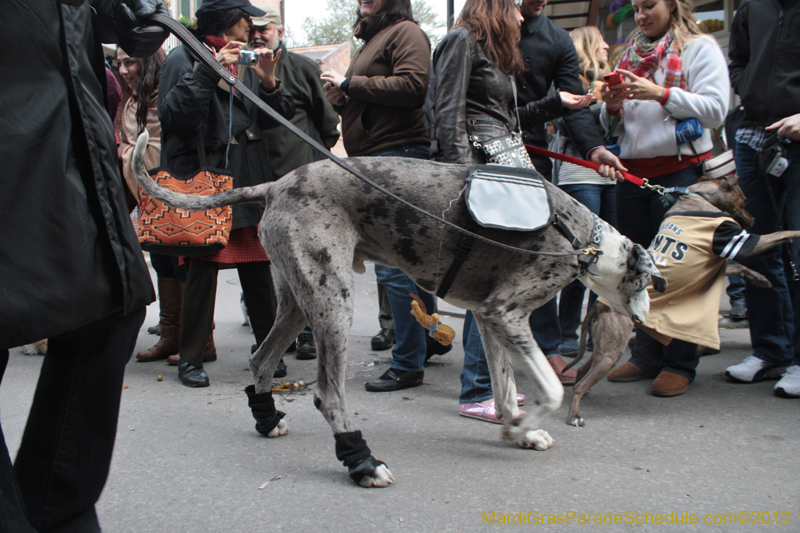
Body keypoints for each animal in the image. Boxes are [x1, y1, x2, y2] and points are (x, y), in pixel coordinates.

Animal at [134, 132, 664, 486]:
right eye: (648, 282)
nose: (644, 319)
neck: (586, 241)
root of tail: (276, 184)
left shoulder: (489, 318)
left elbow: (504, 384)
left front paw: (517, 430)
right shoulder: (506, 312)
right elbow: (550, 389)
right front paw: (525, 425)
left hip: (299, 303)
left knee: (261, 360)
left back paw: (268, 420)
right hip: (334, 302)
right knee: (327, 394)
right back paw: (361, 461)